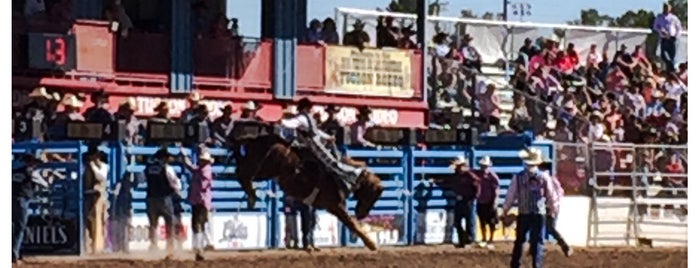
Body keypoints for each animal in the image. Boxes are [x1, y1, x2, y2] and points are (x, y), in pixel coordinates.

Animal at [231, 133, 386, 249]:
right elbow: (351, 223)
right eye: (373, 194)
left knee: (241, 172)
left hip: (261, 169)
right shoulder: (335, 206)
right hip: (264, 169)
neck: (339, 175)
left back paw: (251, 196)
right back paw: (252, 196)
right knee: (241, 173)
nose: (362, 214)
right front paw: (371, 244)